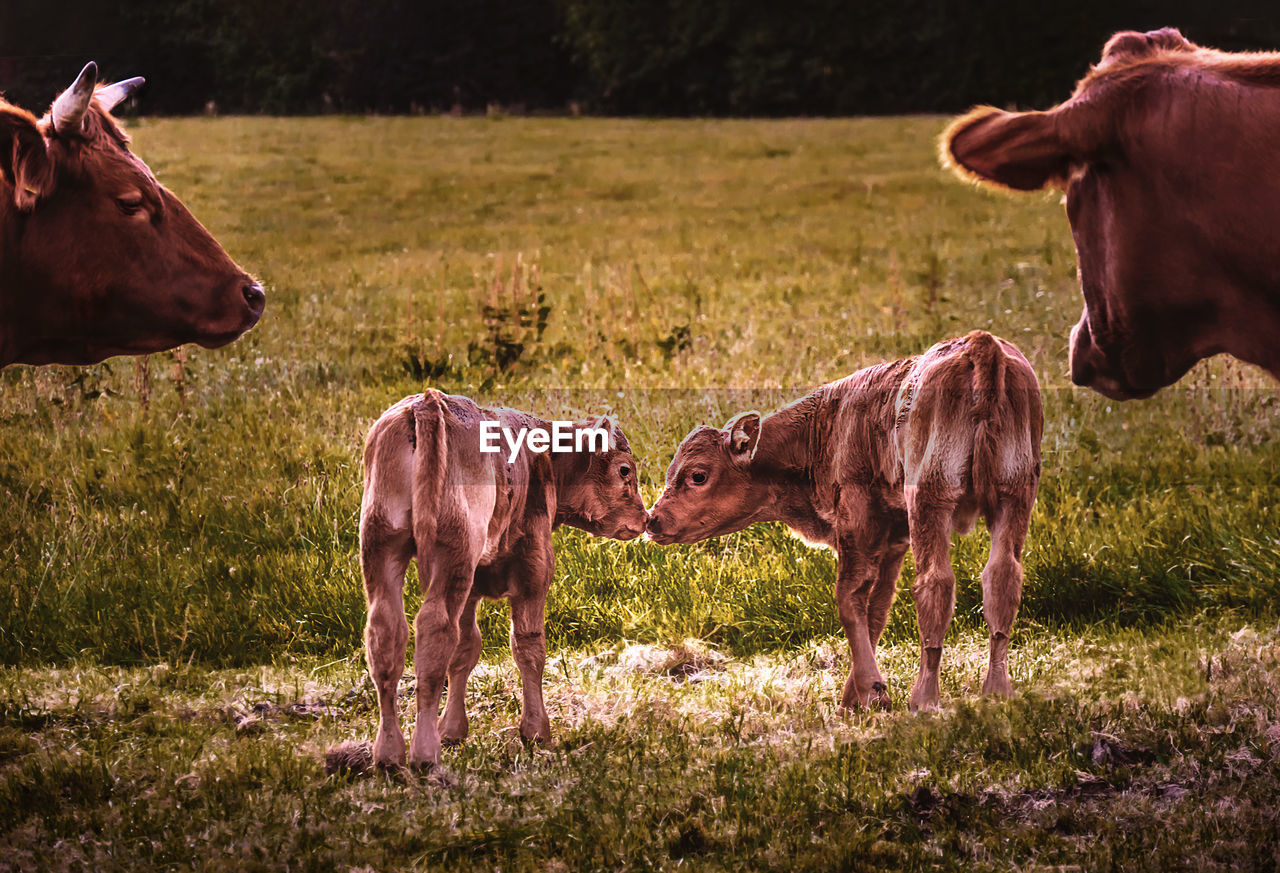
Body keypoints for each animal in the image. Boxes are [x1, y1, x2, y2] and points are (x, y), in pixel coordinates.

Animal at [360, 391, 645, 762]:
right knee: (435, 629)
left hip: (383, 544)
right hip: (452, 552)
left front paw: (452, 730)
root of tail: (427, 403)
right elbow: (528, 646)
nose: (644, 518)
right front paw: (536, 732)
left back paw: (389, 756)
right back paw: (424, 754)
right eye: (625, 470)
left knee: (387, 633)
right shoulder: (535, 567)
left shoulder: (472, 583)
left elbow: (466, 649)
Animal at [650, 330, 1039, 706]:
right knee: (1002, 577)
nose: (653, 520)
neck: (826, 428)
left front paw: (867, 692)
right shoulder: (893, 538)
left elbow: (849, 599)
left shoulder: (858, 522)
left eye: (698, 475)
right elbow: (877, 607)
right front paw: (860, 695)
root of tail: (980, 344)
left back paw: (924, 700)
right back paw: (997, 691)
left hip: (931, 500)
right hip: (1014, 496)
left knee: (936, 583)